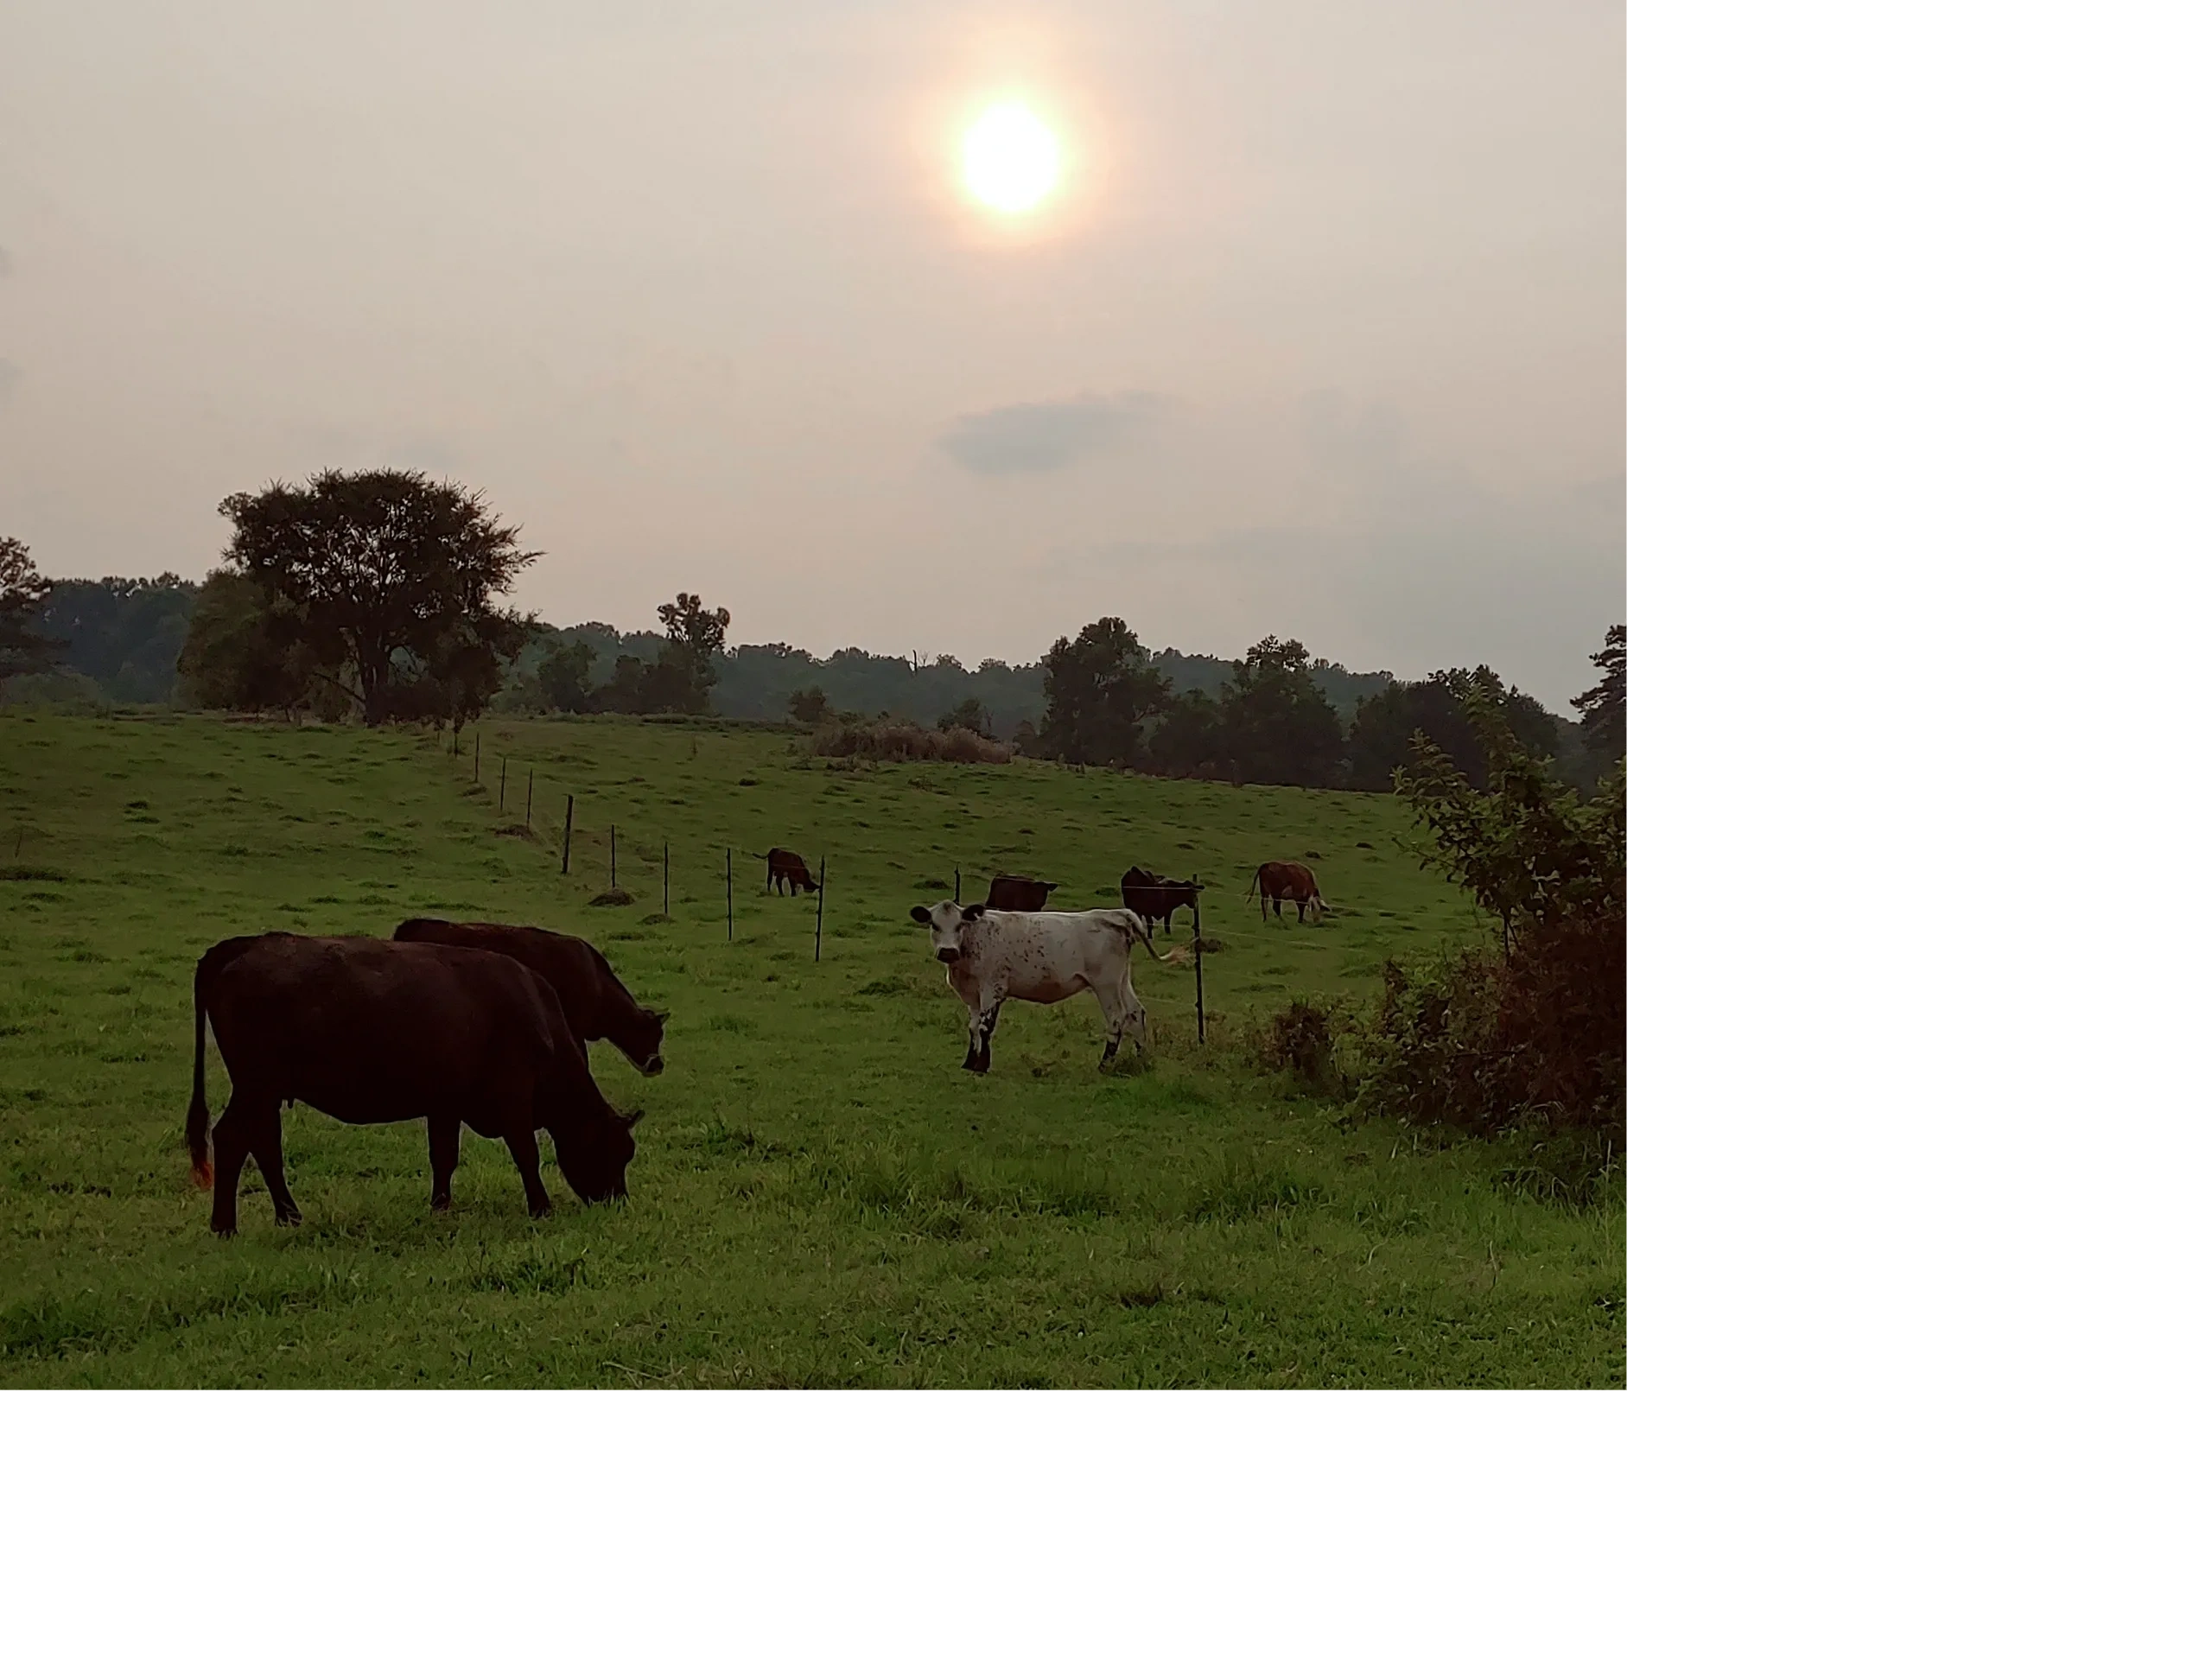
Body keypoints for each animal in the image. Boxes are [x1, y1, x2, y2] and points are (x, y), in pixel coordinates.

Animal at [911, 898, 1185, 1079]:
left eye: (959, 925)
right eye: (934, 925)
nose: (947, 951)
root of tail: (1115, 914)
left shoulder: (992, 989)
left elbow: (984, 1027)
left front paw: (981, 1066)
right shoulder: (972, 995)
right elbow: (972, 1027)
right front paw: (970, 1062)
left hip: (1106, 984)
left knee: (1117, 1019)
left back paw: (1104, 1065)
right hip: (1121, 980)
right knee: (1136, 1012)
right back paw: (1141, 1060)